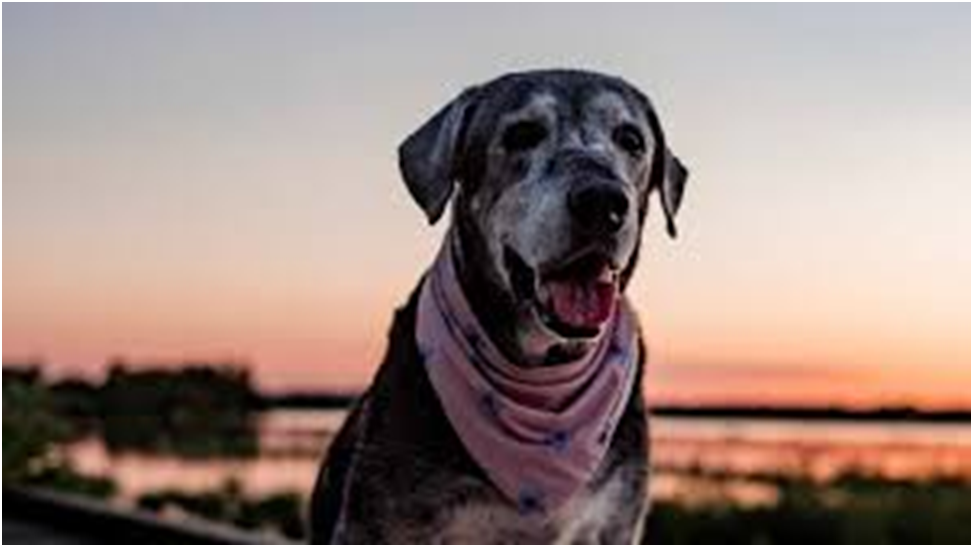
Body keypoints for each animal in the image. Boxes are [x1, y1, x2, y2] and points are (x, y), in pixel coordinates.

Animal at [310, 70, 684, 544]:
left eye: (631, 139)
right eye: (522, 134)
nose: (603, 203)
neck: (541, 376)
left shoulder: (616, 521)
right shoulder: (379, 521)